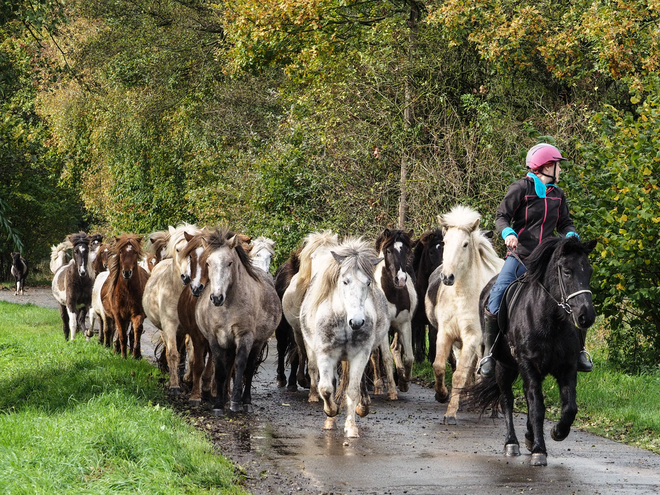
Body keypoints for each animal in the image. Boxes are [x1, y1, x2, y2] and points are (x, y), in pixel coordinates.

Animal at [300, 239, 390, 438]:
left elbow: (353, 390)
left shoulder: (360, 354)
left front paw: (351, 427)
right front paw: (331, 412)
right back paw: (331, 419)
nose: (357, 322)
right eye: (345, 281)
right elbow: (326, 389)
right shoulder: (325, 354)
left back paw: (363, 407)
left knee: (359, 383)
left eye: (368, 283)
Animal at [374, 230, 416, 396]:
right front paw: (392, 391)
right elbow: (385, 358)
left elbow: (409, 357)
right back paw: (378, 385)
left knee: (395, 349)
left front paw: (404, 381)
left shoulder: (405, 324)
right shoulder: (383, 329)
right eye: (389, 251)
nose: (401, 279)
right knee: (375, 355)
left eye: (406, 250)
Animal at [426, 205, 502, 426]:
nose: (447, 277)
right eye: (445, 242)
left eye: (465, 244)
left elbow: (459, 374)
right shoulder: (446, 334)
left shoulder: (472, 338)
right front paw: (442, 395)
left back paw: (494, 409)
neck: (461, 297)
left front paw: (450, 414)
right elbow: (439, 366)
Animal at [470, 238, 600, 466]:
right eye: (567, 271)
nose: (587, 316)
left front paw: (557, 432)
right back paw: (511, 443)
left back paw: (529, 437)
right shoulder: (528, 364)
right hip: (504, 366)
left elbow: (569, 407)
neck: (551, 320)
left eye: (589, 271)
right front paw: (540, 451)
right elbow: (537, 407)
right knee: (507, 400)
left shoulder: (567, 367)